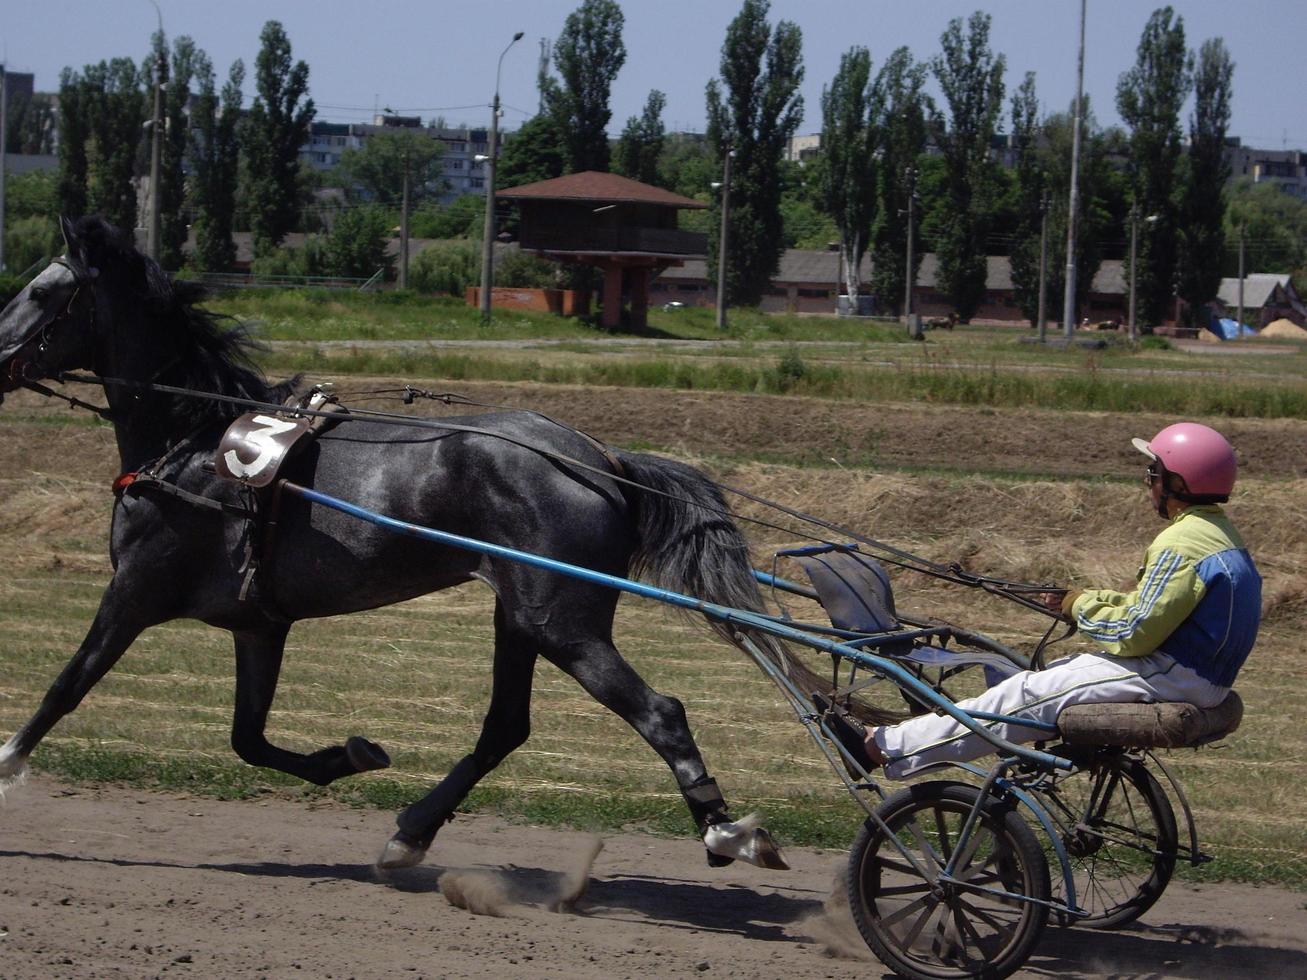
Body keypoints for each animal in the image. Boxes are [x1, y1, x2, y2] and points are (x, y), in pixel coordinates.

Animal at [0, 218, 815, 872]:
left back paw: (723, 829)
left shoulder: (134, 590)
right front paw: (350, 756)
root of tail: (598, 459)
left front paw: (7, 765)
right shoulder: (258, 625)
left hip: (564, 623)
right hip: (519, 617)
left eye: (39, 291)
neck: (195, 445)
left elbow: (64, 689)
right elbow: (247, 738)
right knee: (505, 727)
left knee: (661, 712)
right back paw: (414, 831)